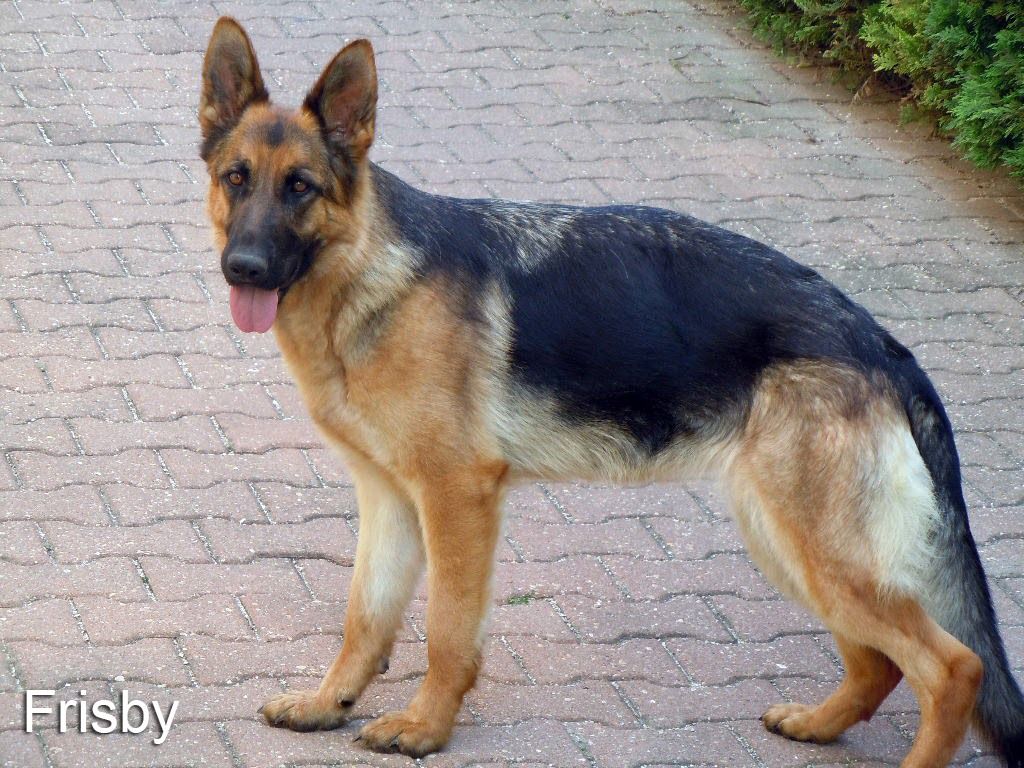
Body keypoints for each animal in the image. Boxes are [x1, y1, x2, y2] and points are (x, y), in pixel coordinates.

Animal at [198, 17, 1024, 766]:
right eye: (236, 178)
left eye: (300, 188)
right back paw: (818, 724)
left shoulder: (457, 498)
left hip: (818, 547)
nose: (243, 268)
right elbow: (364, 621)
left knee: (953, 668)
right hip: (786, 538)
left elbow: (448, 633)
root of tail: (878, 342)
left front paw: (426, 728)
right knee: (880, 662)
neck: (368, 272)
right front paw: (328, 703)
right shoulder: (388, 499)